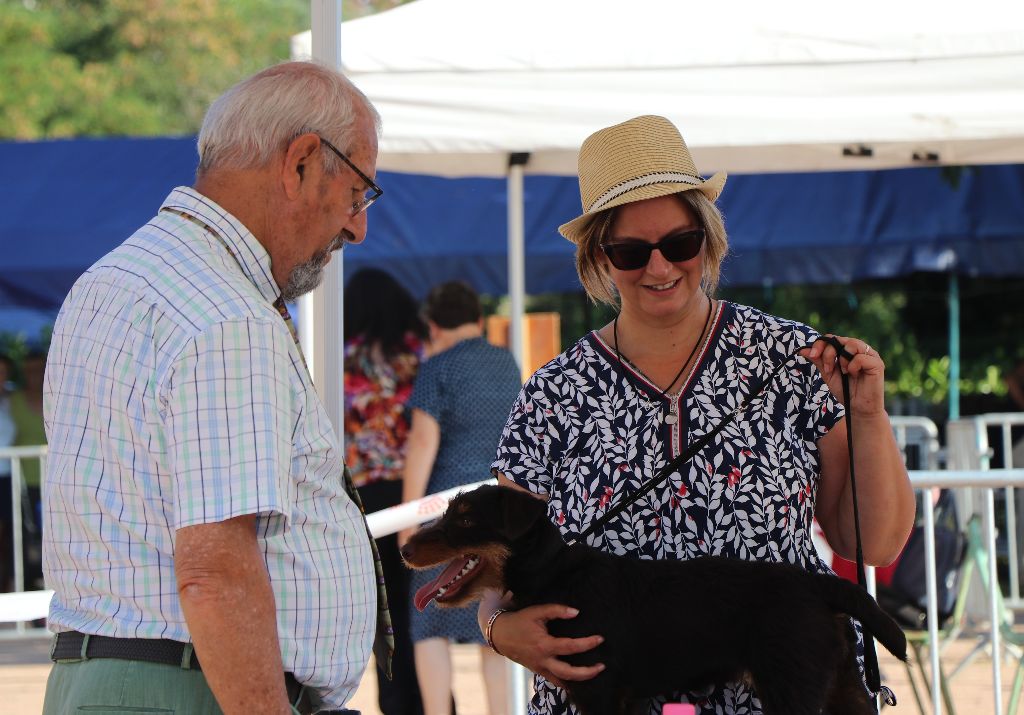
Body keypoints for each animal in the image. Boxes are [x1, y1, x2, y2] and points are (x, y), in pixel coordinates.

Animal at [403, 481, 909, 708]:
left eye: (466, 519)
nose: (405, 548)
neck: (556, 573)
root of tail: (817, 583)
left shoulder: (600, 693)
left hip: (793, 687)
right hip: (843, 688)